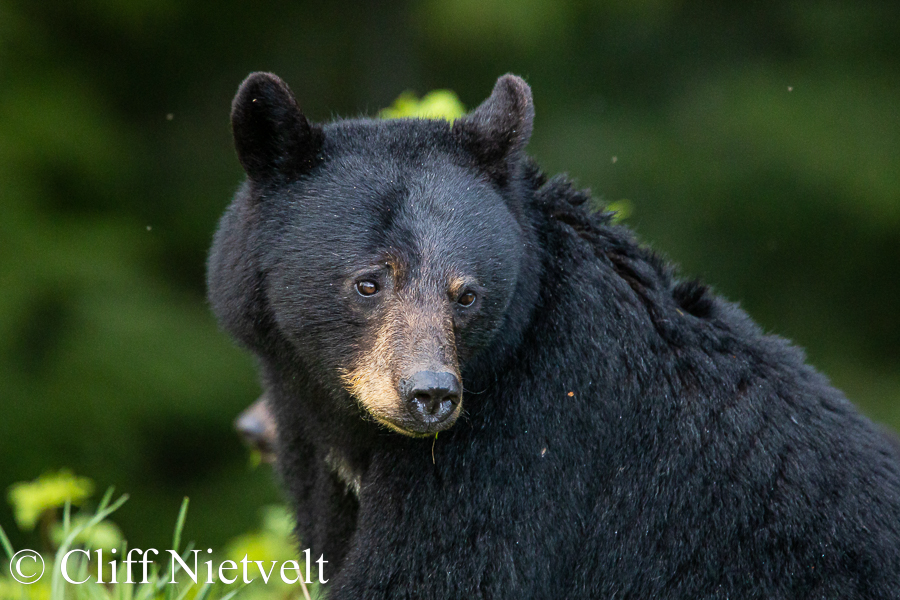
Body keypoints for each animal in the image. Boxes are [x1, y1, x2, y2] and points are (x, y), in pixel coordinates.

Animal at [207, 72, 900, 596]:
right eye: (369, 283)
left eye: (467, 294)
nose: (430, 395)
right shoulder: (314, 448)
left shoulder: (526, 437)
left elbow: (437, 572)